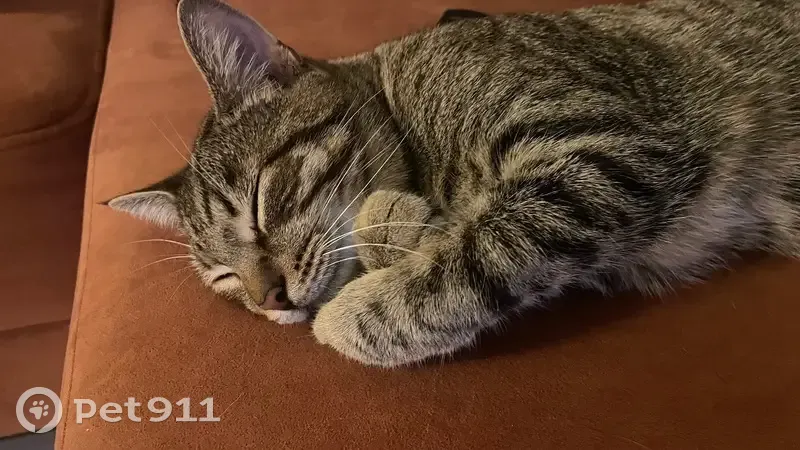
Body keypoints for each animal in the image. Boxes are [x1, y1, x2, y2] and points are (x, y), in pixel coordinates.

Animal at [108, 0, 800, 367]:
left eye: (258, 203)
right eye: (223, 279)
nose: (269, 302)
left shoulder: (608, 148)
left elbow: (479, 255)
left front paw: (347, 317)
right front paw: (398, 223)